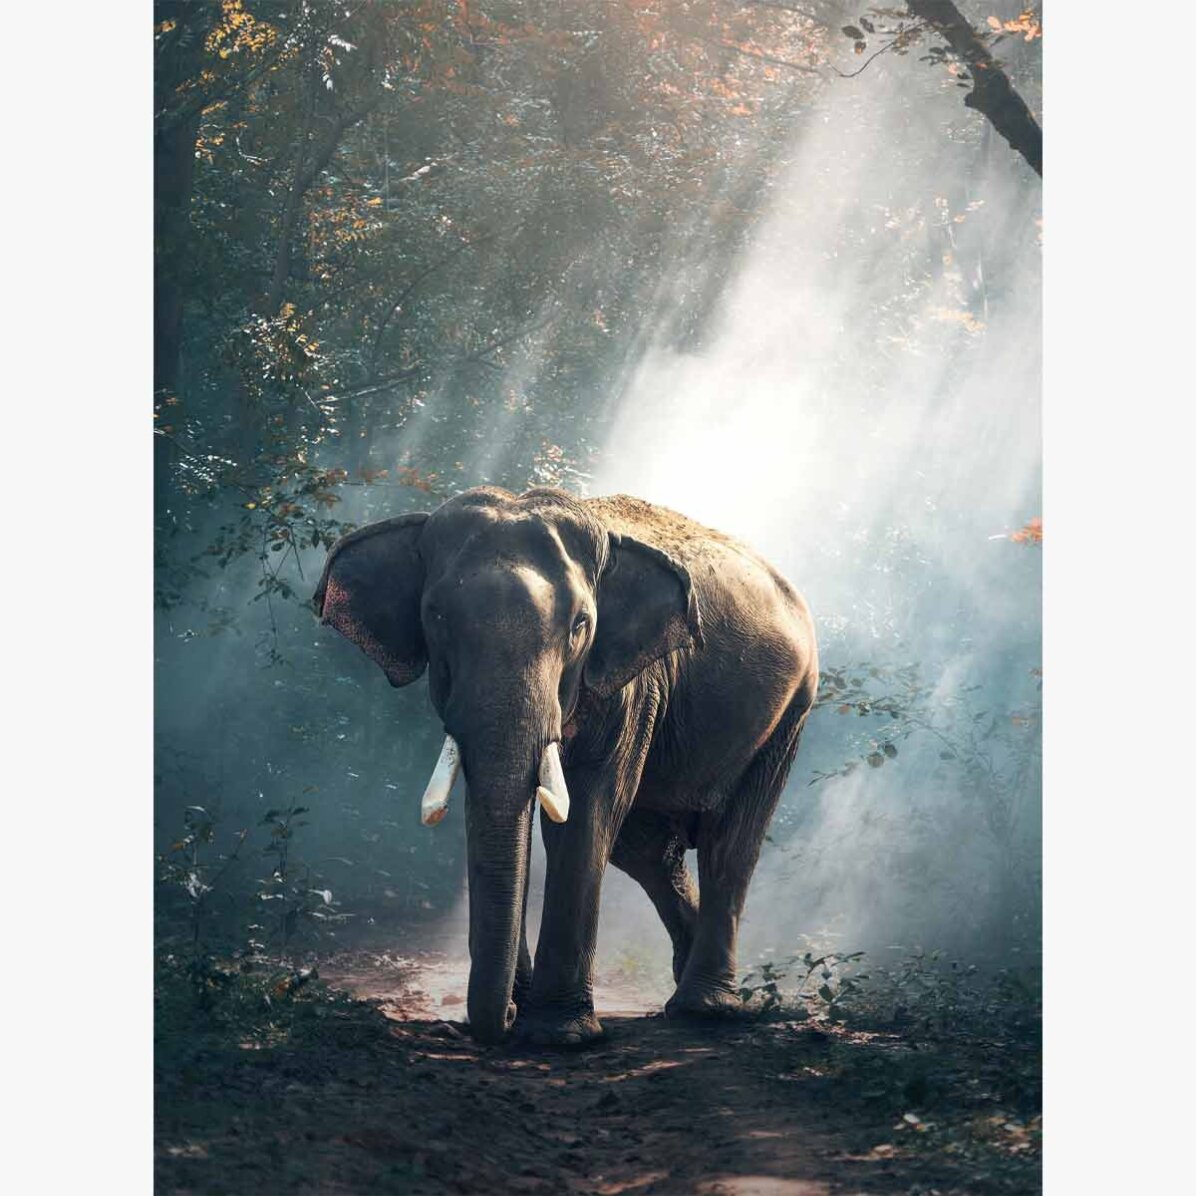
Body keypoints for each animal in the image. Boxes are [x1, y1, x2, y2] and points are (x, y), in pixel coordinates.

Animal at [313, 486, 818, 1045]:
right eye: (435, 616)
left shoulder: (632, 684)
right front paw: (526, 1010)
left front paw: (559, 1035)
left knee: (729, 843)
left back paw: (704, 1008)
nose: (504, 1018)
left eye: (580, 625)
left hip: (789, 713)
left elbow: (586, 814)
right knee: (646, 849)